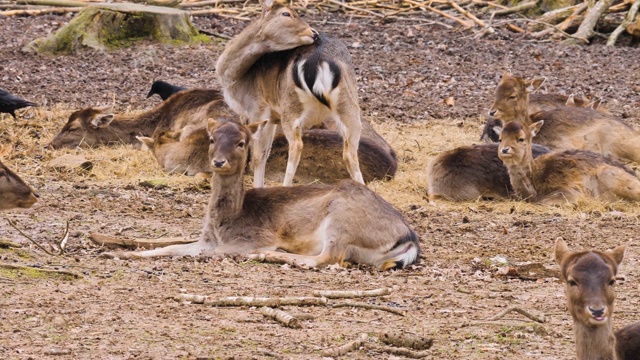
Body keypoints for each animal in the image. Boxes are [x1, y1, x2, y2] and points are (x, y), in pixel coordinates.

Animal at [105, 119, 420, 272]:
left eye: (241, 142)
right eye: (212, 139)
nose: (218, 162)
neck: (224, 223)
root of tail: (409, 239)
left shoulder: (250, 238)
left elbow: (212, 253)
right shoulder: (205, 239)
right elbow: (171, 247)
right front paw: (116, 252)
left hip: (342, 219)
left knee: (328, 258)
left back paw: (275, 255)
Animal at [216, 0, 362, 188]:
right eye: (286, 13)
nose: (314, 33)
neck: (233, 79)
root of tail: (317, 61)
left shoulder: (256, 109)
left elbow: (257, 154)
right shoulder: (271, 117)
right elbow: (265, 152)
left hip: (291, 107)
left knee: (296, 146)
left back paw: (286, 186)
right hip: (349, 104)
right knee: (350, 152)